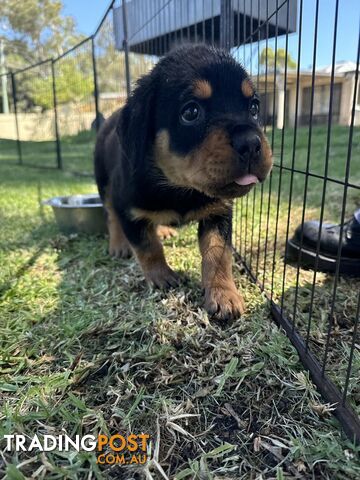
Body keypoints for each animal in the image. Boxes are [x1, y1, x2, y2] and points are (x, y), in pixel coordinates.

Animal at [94, 45, 272, 320]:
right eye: (190, 112)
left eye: (253, 107)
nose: (252, 143)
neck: (180, 188)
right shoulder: (129, 210)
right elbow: (147, 247)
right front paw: (160, 276)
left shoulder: (218, 213)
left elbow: (218, 254)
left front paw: (223, 294)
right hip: (104, 183)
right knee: (110, 214)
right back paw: (119, 244)